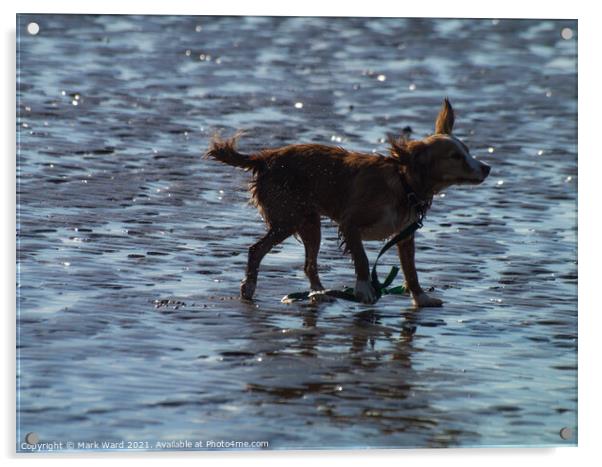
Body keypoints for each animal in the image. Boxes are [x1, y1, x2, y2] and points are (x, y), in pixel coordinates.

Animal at [206, 99, 488, 308]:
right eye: (455, 156)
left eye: (467, 151)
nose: (487, 167)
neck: (403, 183)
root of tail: (265, 158)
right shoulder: (350, 223)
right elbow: (362, 259)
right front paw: (364, 289)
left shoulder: (405, 236)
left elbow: (411, 270)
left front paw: (421, 298)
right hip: (288, 218)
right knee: (257, 250)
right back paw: (250, 288)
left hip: (309, 223)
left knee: (308, 265)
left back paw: (319, 294)